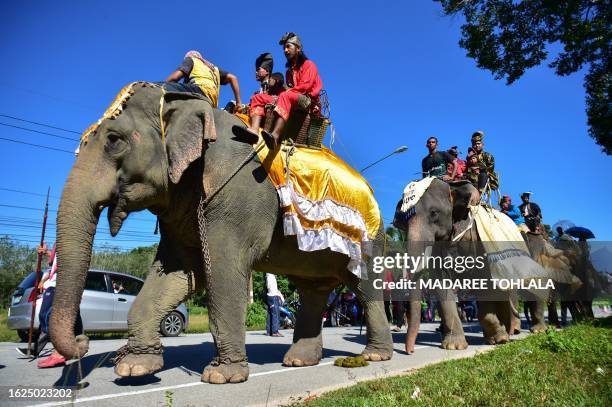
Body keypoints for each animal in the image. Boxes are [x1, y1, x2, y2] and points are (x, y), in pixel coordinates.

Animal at [49, 83, 392, 386]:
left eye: (114, 139)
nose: (82, 342)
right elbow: (180, 273)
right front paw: (135, 368)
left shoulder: (237, 196)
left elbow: (223, 271)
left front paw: (221, 376)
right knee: (313, 291)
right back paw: (298, 360)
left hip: (369, 242)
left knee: (364, 288)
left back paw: (375, 356)